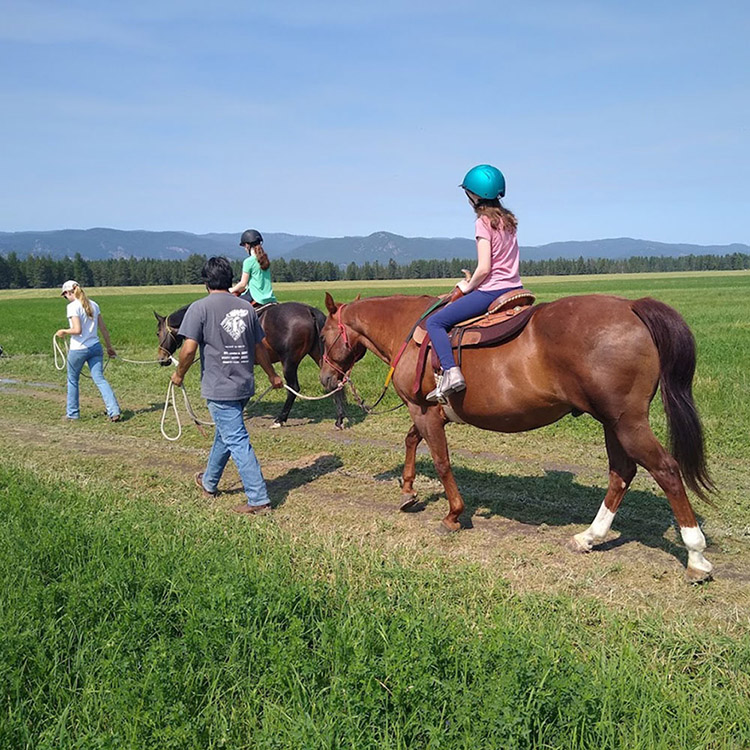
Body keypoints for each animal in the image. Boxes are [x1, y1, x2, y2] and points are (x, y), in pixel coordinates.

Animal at [158, 300, 350, 428]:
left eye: (158, 332)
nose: (162, 359)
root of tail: (308, 310)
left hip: (289, 362)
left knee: (293, 388)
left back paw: (280, 419)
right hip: (322, 356)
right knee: (332, 382)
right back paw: (340, 418)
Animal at [318, 292, 716, 580]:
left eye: (323, 335)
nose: (325, 378)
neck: (408, 330)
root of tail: (631, 306)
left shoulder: (423, 410)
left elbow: (442, 461)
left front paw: (453, 515)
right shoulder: (429, 413)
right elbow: (411, 441)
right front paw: (408, 491)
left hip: (627, 423)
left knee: (665, 470)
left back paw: (695, 555)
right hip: (613, 423)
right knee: (622, 472)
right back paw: (589, 537)